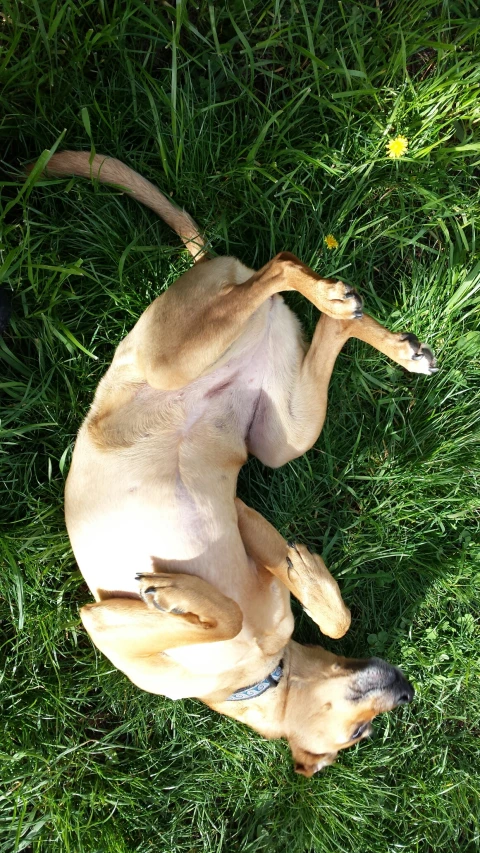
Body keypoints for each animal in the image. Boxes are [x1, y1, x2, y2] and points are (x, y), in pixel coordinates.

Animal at [30, 151, 436, 772]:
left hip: (280, 431)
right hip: (199, 374)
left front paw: (308, 578)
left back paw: (379, 333)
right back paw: (346, 307)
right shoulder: (104, 622)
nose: (407, 690)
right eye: (358, 735)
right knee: (283, 269)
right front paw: (186, 595)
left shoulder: (244, 528)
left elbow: (320, 616)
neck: (258, 673)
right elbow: (233, 613)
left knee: (304, 297)